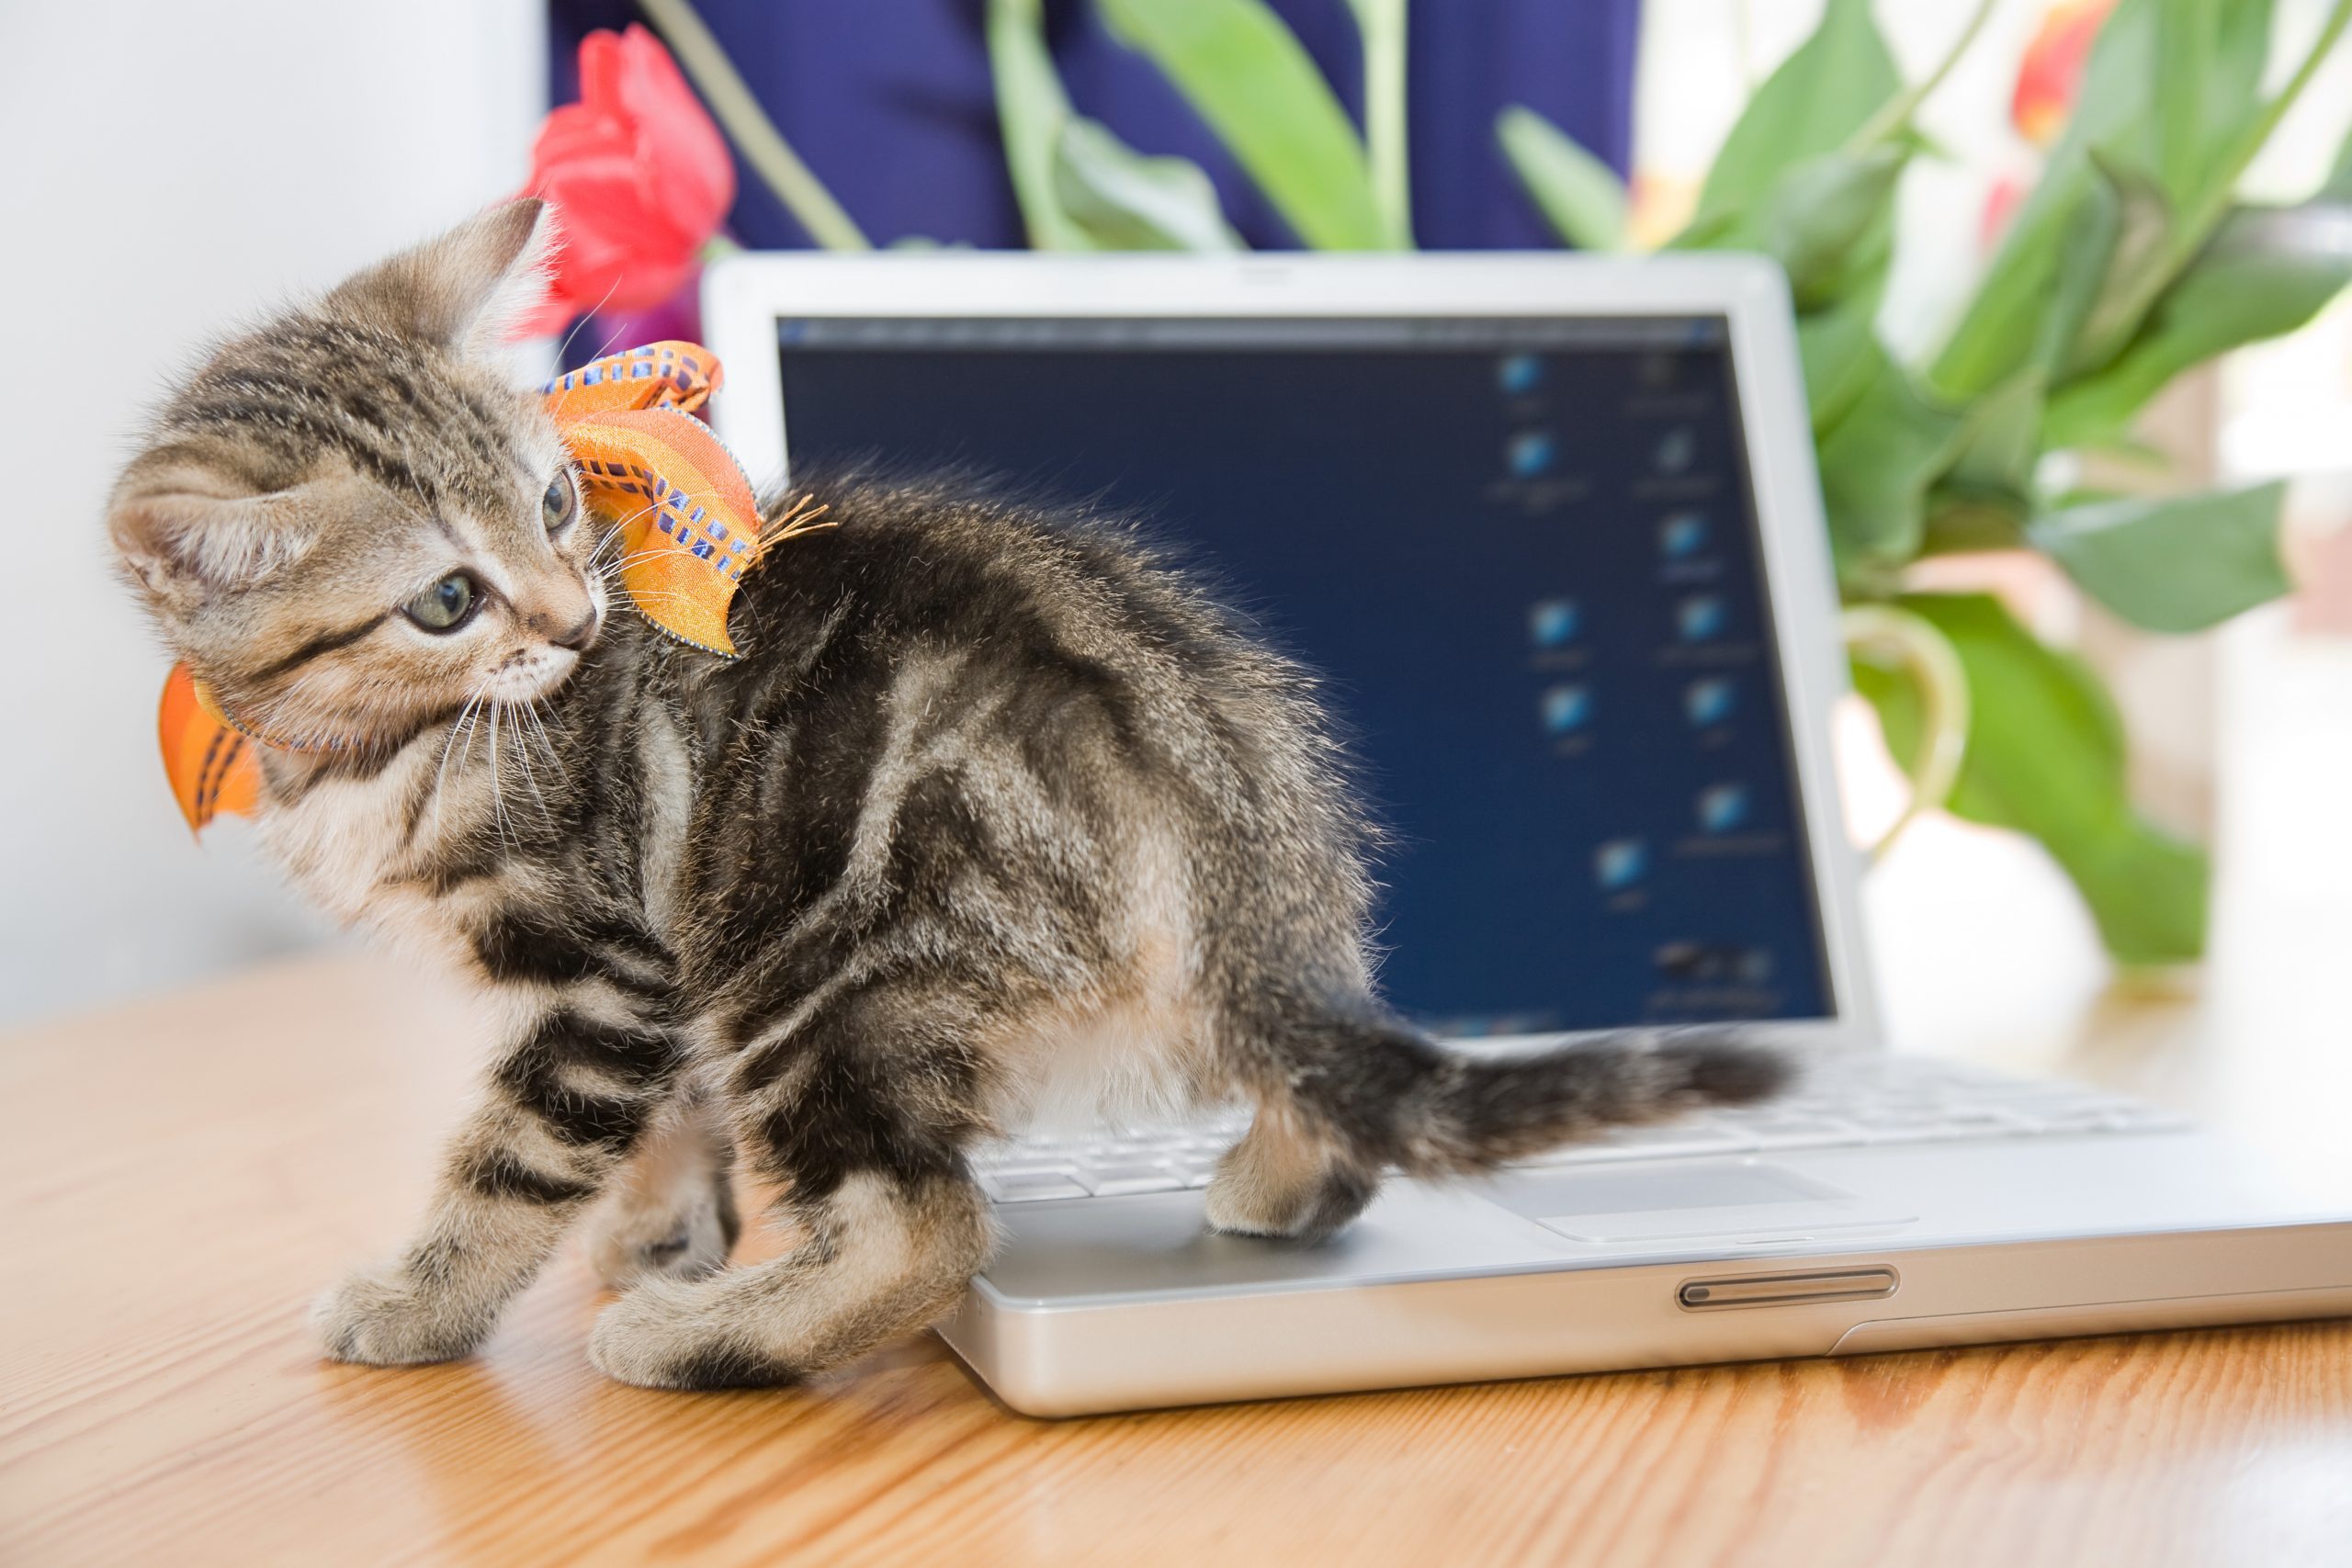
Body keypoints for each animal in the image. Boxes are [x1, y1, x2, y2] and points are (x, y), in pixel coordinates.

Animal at [110, 202, 1787, 1392]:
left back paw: (707, 1337)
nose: (580, 620)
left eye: (556, 500)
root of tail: (1216, 775)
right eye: (449, 597)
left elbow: (520, 1155)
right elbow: (663, 1125)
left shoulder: (611, 965)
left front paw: (423, 1298)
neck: (377, 740)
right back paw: (1270, 1176)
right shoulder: (647, 980)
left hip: (808, 955)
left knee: (926, 1219)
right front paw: (660, 1232)